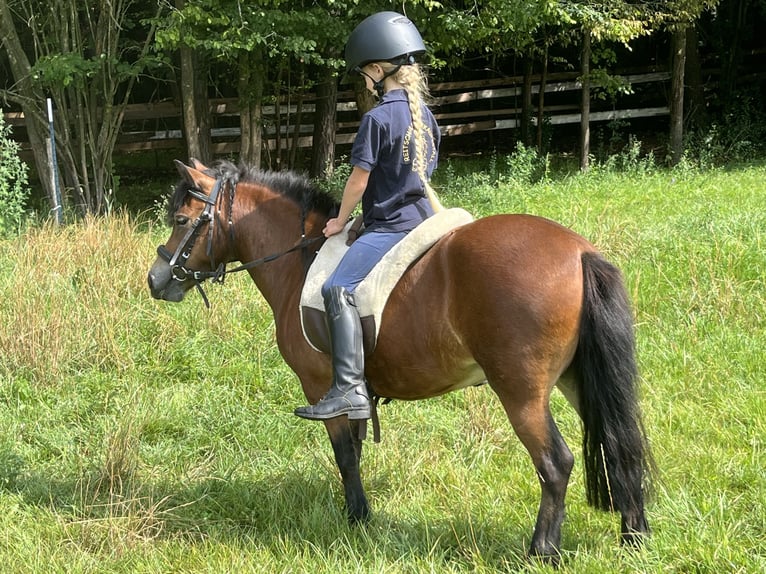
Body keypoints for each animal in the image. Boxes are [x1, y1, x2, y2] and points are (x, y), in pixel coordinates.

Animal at [148, 160, 656, 564]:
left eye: (181, 219)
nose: (156, 280)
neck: (300, 260)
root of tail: (580, 252)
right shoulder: (351, 392)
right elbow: (354, 449)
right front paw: (358, 515)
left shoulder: (320, 387)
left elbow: (344, 453)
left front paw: (356, 517)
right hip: (579, 381)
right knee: (619, 444)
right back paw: (634, 536)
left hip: (521, 392)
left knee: (555, 463)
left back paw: (541, 551)